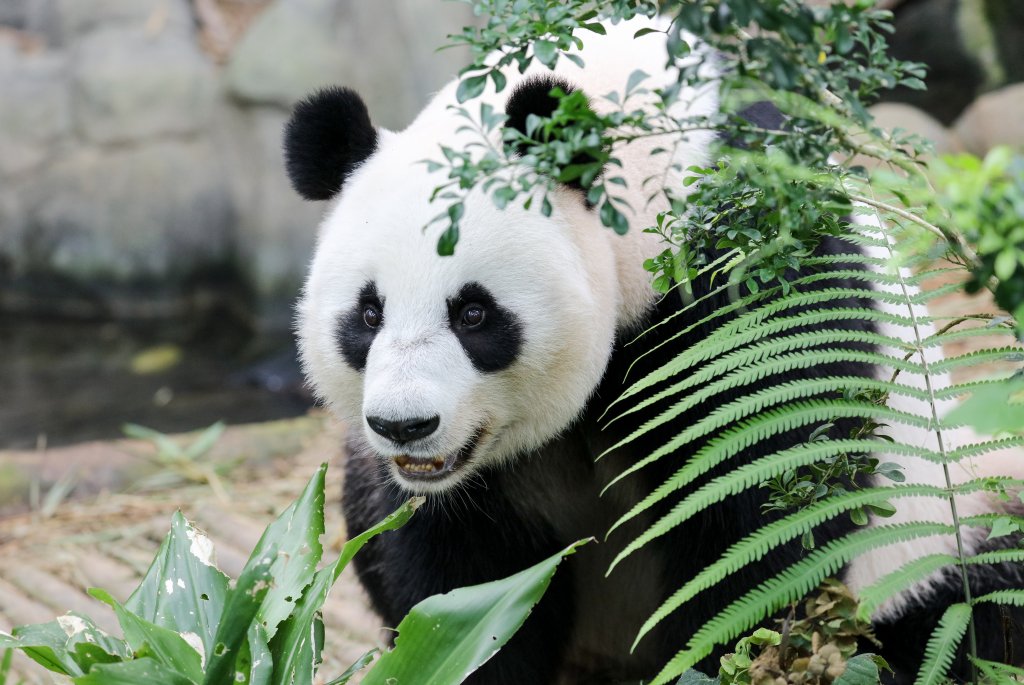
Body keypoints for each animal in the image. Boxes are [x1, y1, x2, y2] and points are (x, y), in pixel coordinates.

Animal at [284, 17, 1023, 685]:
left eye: (472, 313)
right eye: (368, 314)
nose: (405, 425)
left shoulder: (744, 259)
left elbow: (758, 500)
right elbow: (460, 580)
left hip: (935, 534)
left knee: (980, 596)